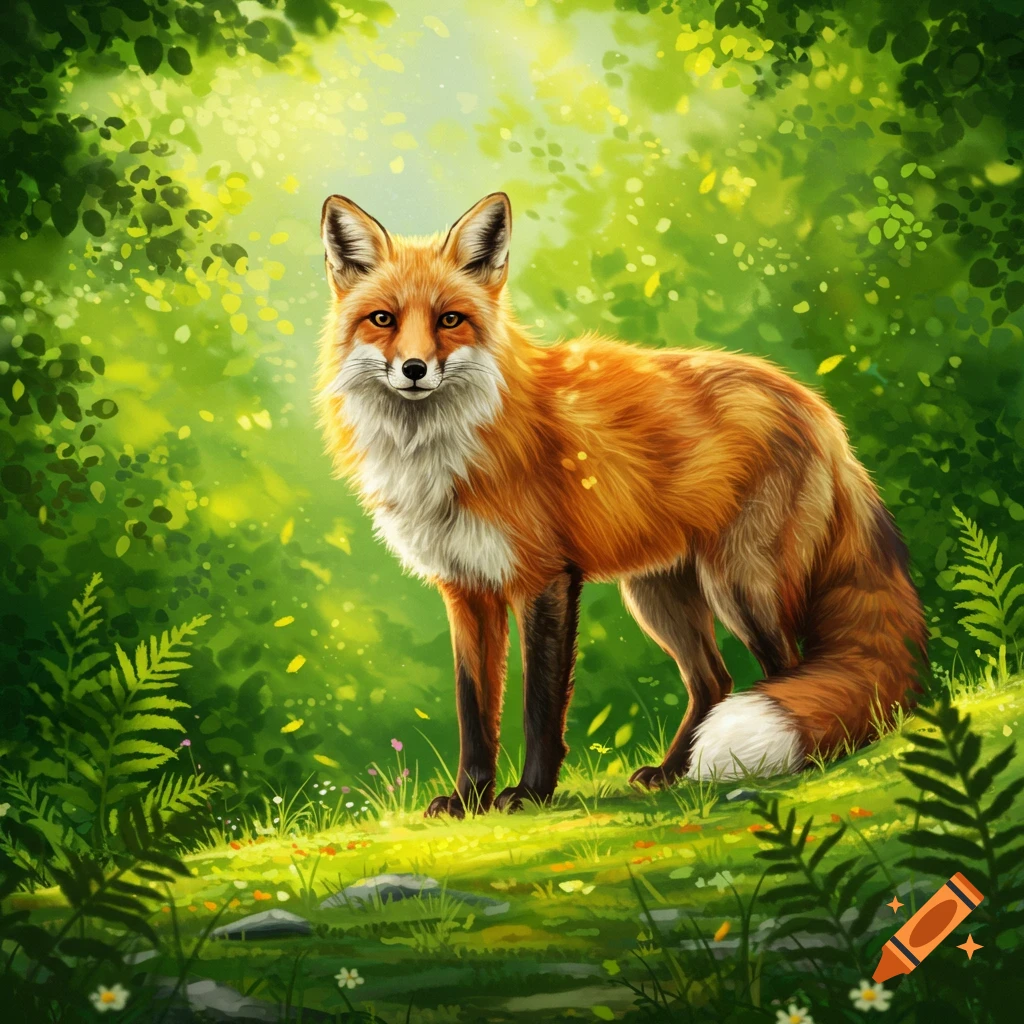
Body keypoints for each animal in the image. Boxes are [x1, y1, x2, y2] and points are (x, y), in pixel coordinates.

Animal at [315, 190, 928, 818]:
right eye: (383, 319)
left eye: (450, 320)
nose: (414, 370)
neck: (444, 451)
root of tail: (817, 407)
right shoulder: (467, 589)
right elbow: (474, 712)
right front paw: (468, 800)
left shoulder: (544, 578)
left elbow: (540, 707)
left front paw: (529, 795)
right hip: (659, 592)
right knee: (714, 681)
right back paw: (677, 772)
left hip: (741, 585)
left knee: (781, 669)